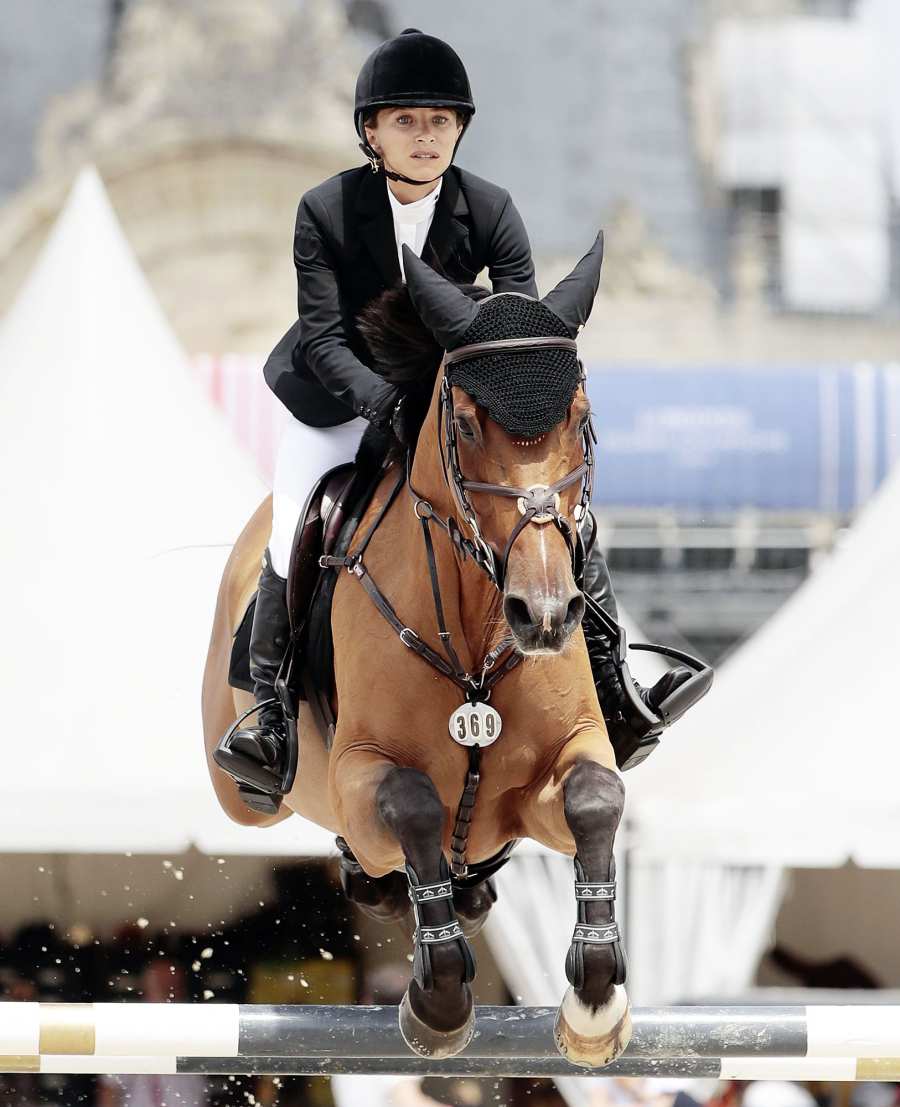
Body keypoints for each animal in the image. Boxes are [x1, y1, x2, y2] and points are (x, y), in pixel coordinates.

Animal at [201, 232, 631, 1067]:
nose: (545, 615)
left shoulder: (549, 772)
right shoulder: (358, 773)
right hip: (244, 795)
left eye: (582, 418)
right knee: (330, 831)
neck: (473, 632)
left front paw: (595, 1000)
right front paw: (438, 1001)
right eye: (462, 425)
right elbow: (414, 804)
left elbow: (597, 796)